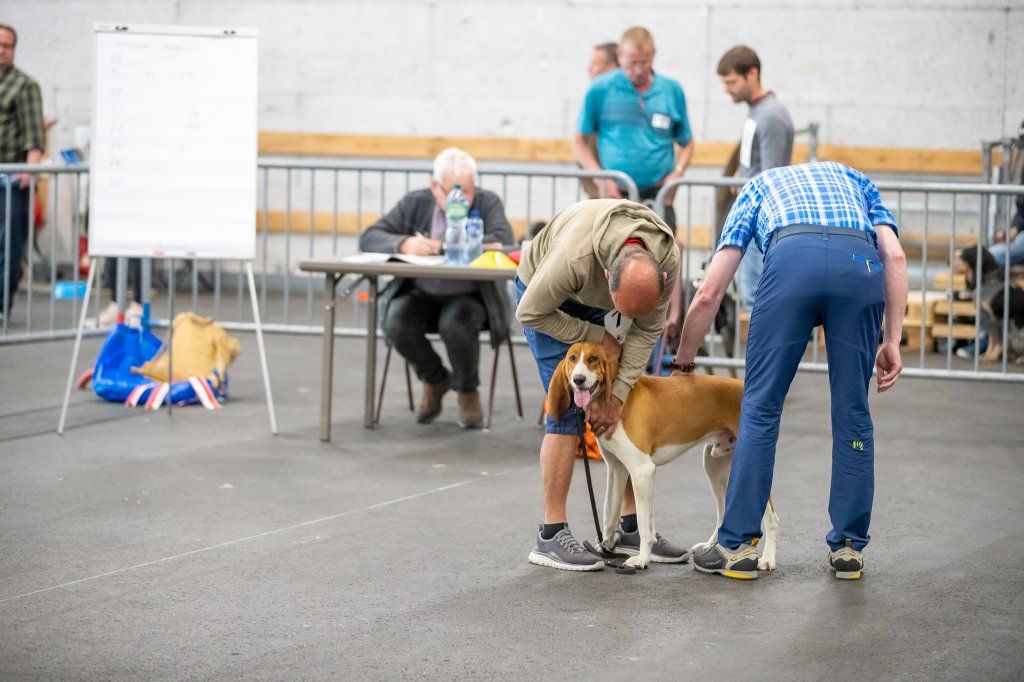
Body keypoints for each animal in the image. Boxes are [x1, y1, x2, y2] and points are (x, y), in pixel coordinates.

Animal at [548, 339, 778, 569]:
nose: (578, 379)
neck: (615, 397)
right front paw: (606, 546)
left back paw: (767, 559)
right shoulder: (617, 469)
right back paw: (710, 547)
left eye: (593, 358)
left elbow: (643, 523)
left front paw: (641, 558)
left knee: (772, 519)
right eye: (572, 358)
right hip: (714, 465)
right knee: (722, 514)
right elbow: (609, 513)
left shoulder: (642, 470)